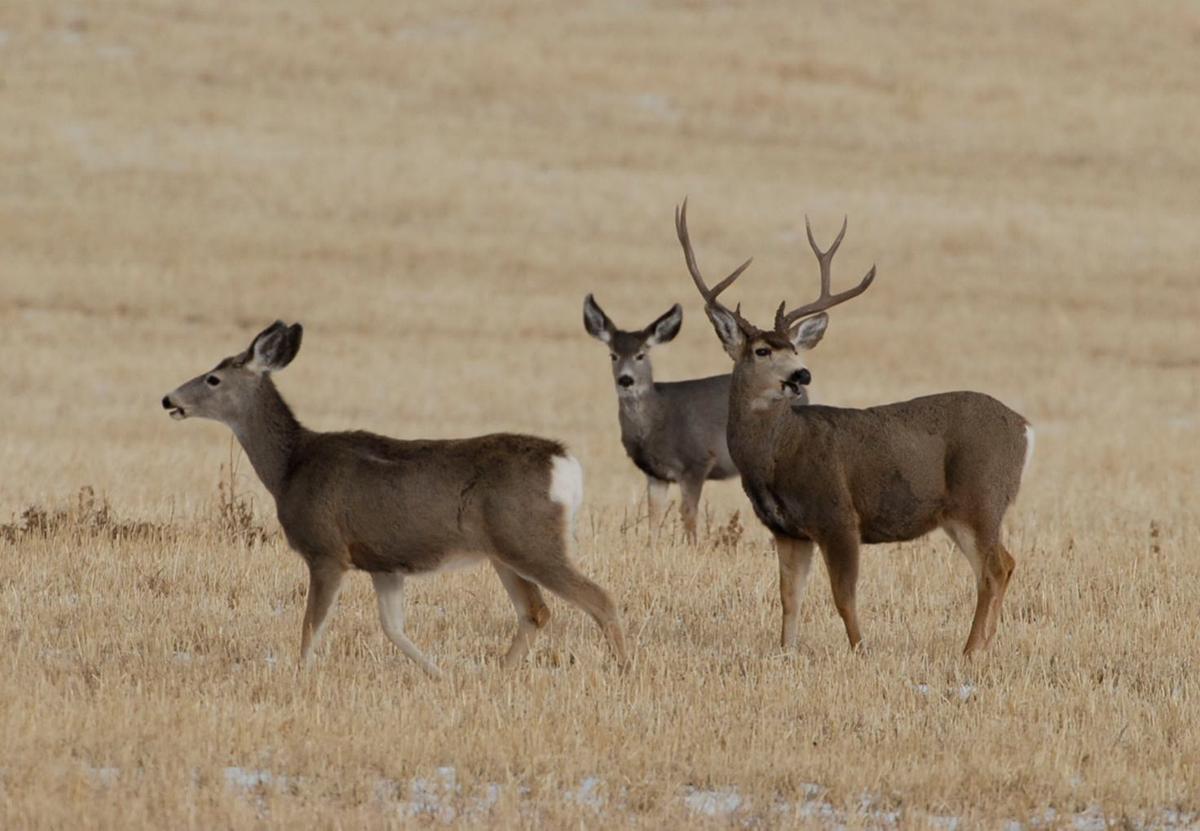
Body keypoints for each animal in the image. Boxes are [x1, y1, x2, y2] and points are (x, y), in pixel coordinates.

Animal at [162, 321, 628, 677]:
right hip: (504, 551)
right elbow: (393, 628)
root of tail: (565, 463)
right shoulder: (384, 564)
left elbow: (312, 627)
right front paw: (439, 674)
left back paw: (623, 669)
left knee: (600, 599)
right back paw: (498, 675)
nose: (168, 399)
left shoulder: (326, 550)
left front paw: (299, 676)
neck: (290, 466)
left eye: (213, 378)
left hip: (531, 540)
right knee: (535, 612)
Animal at [580, 295, 748, 542]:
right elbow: (654, 517)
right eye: (613, 355)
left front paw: (692, 548)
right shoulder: (655, 473)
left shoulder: (697, 461)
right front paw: (652, 548)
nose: (626, 379)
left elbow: (688, 514)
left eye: (641, 355)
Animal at [676, 198, 1032, 653]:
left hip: (981, 497)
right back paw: (981, 648)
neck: (777, 454)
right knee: (1000, 565)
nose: (801, 375)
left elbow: (843, 597)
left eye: (794, 349)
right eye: (761, 351)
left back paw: (970, 651)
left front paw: (860, 650)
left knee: (995, 567)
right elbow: (789, 597)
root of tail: (1023, 427)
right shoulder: (788, 530)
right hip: (964, 511)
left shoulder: (839, 516)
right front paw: (785, 652)